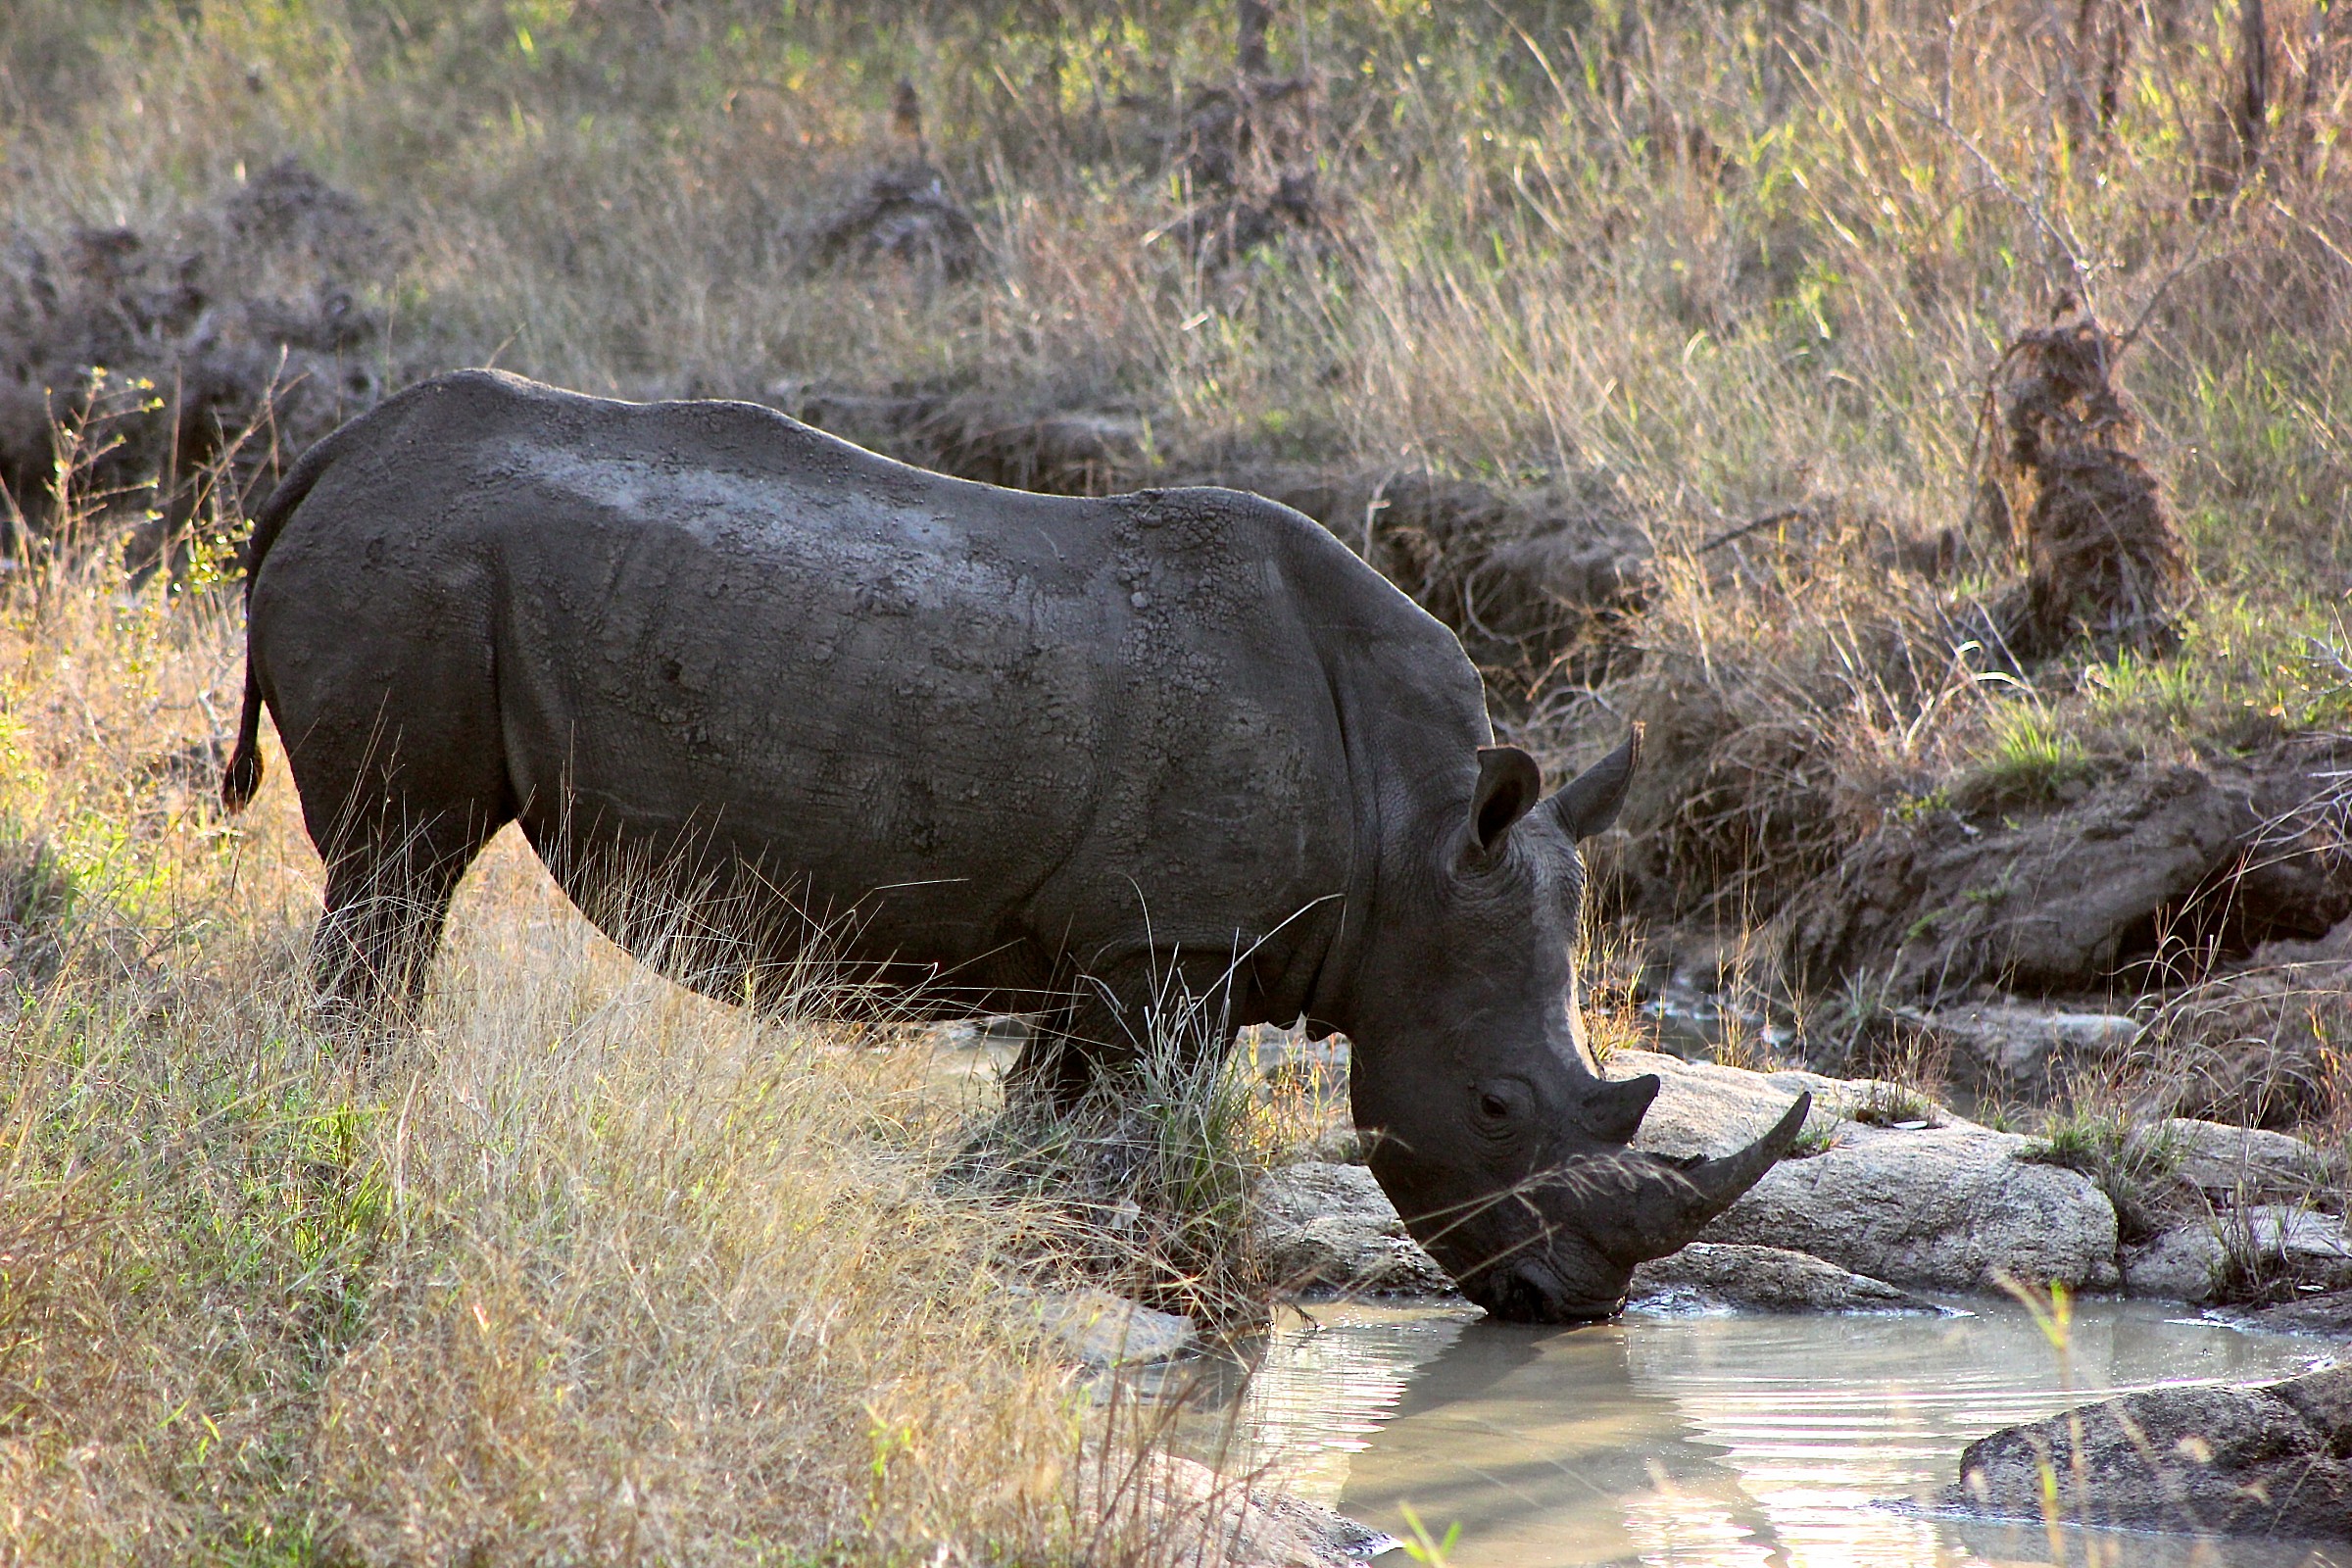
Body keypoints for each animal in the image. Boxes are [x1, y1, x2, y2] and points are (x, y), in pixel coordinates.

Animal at [221, 369, 1804, 1322]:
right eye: (1493, 1105)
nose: (1573, 1304)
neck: (1414, 838)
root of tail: (327, 459)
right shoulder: (1171, 947)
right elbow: (1153, 1134)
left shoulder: (1103, 948)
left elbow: (1051, 1120)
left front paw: (1017, 1241)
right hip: (420, 568)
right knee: (401, 862)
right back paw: (366, 1103)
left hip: (427, 560)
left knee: (394, 874)